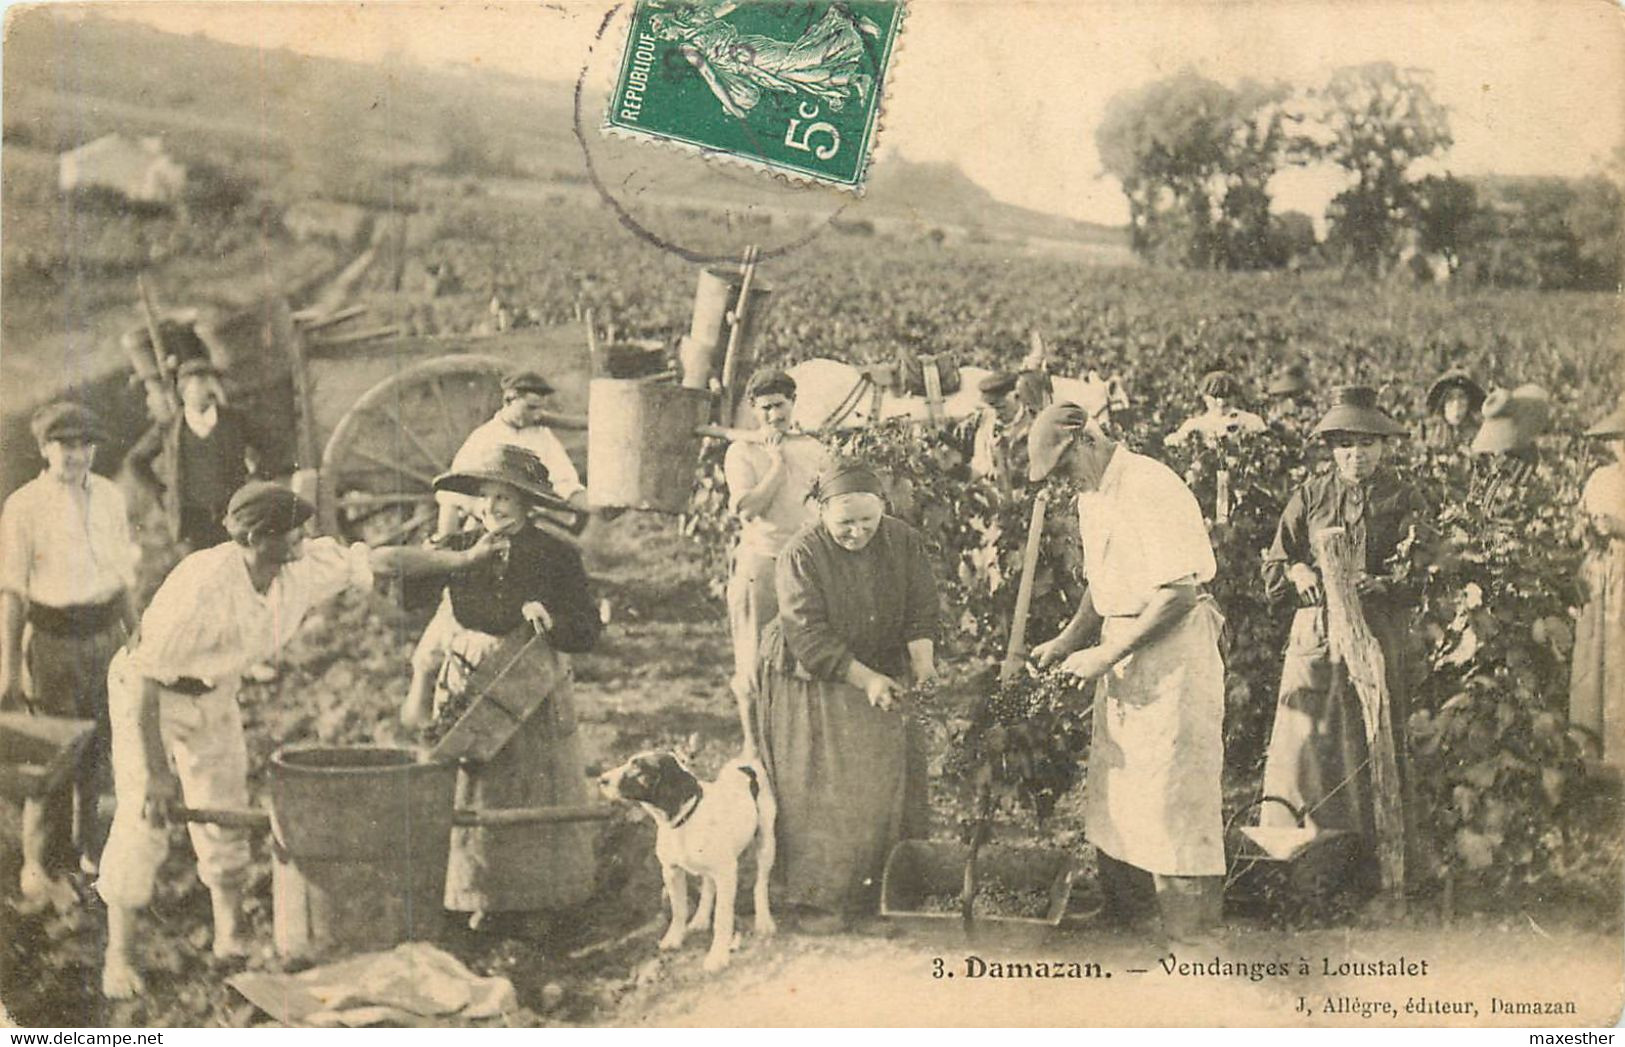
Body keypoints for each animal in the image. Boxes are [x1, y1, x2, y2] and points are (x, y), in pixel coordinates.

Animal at [601, 747, 776, 968]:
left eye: (638, 768)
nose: (601, 780)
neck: (685, 821)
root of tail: (745, 762)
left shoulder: (726, 873)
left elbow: (722, 918)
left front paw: (717, 956)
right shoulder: (671, 871)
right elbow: (678, 910)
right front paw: (674, 938)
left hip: (766, 842)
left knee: (760, 884)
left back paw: (764, 921)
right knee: (709, 886)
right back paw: (700, 919)